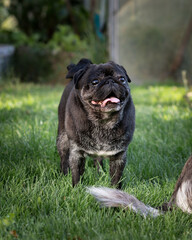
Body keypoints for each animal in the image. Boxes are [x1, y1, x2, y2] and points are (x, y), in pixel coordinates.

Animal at [56, 58, 135, 188]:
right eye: (95, 82)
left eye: (122, 79)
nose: (110, 81)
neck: (103, 121)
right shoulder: (76, 153)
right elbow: (76, 174)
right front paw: (76, 189)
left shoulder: (119, 156)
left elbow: (116, 178)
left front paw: (114, 190)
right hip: (62, 140)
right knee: (64, 159)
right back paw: (64, 175)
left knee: (98, 161)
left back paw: (100, 175)